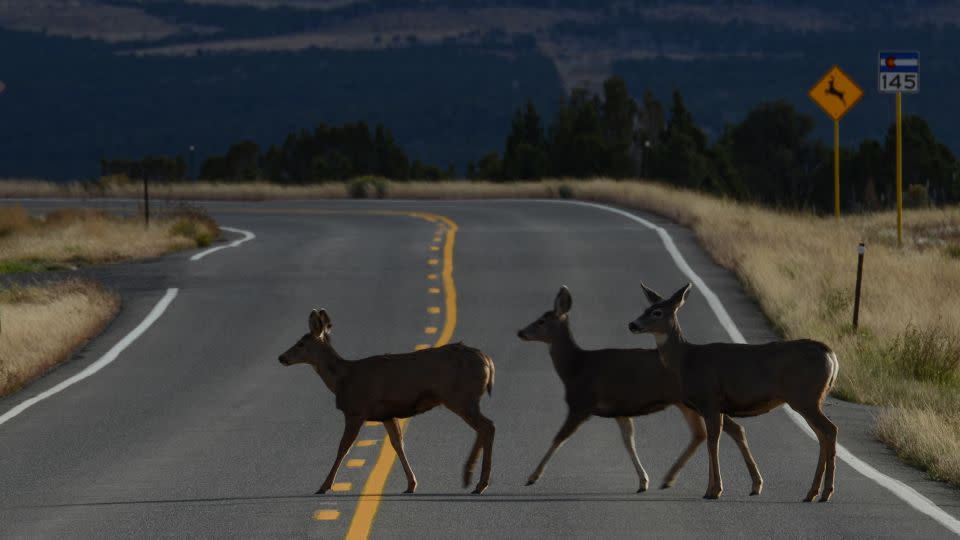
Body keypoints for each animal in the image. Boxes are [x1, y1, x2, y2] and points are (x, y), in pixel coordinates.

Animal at [278, 310, 496, 496]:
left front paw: (324, 486)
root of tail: (488, 361)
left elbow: (343, 448)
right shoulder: (386, 414)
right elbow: (398, 444)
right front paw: (411, 484)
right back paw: (472, 478)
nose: (281, 357)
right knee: (485, 427)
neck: (343, 379)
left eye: (300, 343)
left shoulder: (356, 410)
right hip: (464, 398)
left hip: (460, 396)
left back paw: (477, 482)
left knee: (487, 426)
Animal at [516, 286, 764, 494]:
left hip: (697, 400)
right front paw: (643, 480)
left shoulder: (582, 403)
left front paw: (532, 476)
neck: (575, 368)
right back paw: (672, 479)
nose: (520, 332)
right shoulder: (619, 410)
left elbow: (559, 438)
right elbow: (629, 441)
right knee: (710, 432)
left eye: (541, 321)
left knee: (720, 430)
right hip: (691, 403)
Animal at [628, 284, 836, 500]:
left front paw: (715, 490)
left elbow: (712, 441)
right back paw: (814, 492)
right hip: (811, 400)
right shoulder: (715, 406)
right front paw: (711, 489)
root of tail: (830, 354)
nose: (632, 325)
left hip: (805, 398)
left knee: (830, 430)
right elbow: (719, 438)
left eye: (657, 312)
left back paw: (825, 492)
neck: (686, 361)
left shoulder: (709, 399)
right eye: (645, 309)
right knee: (823, 435)